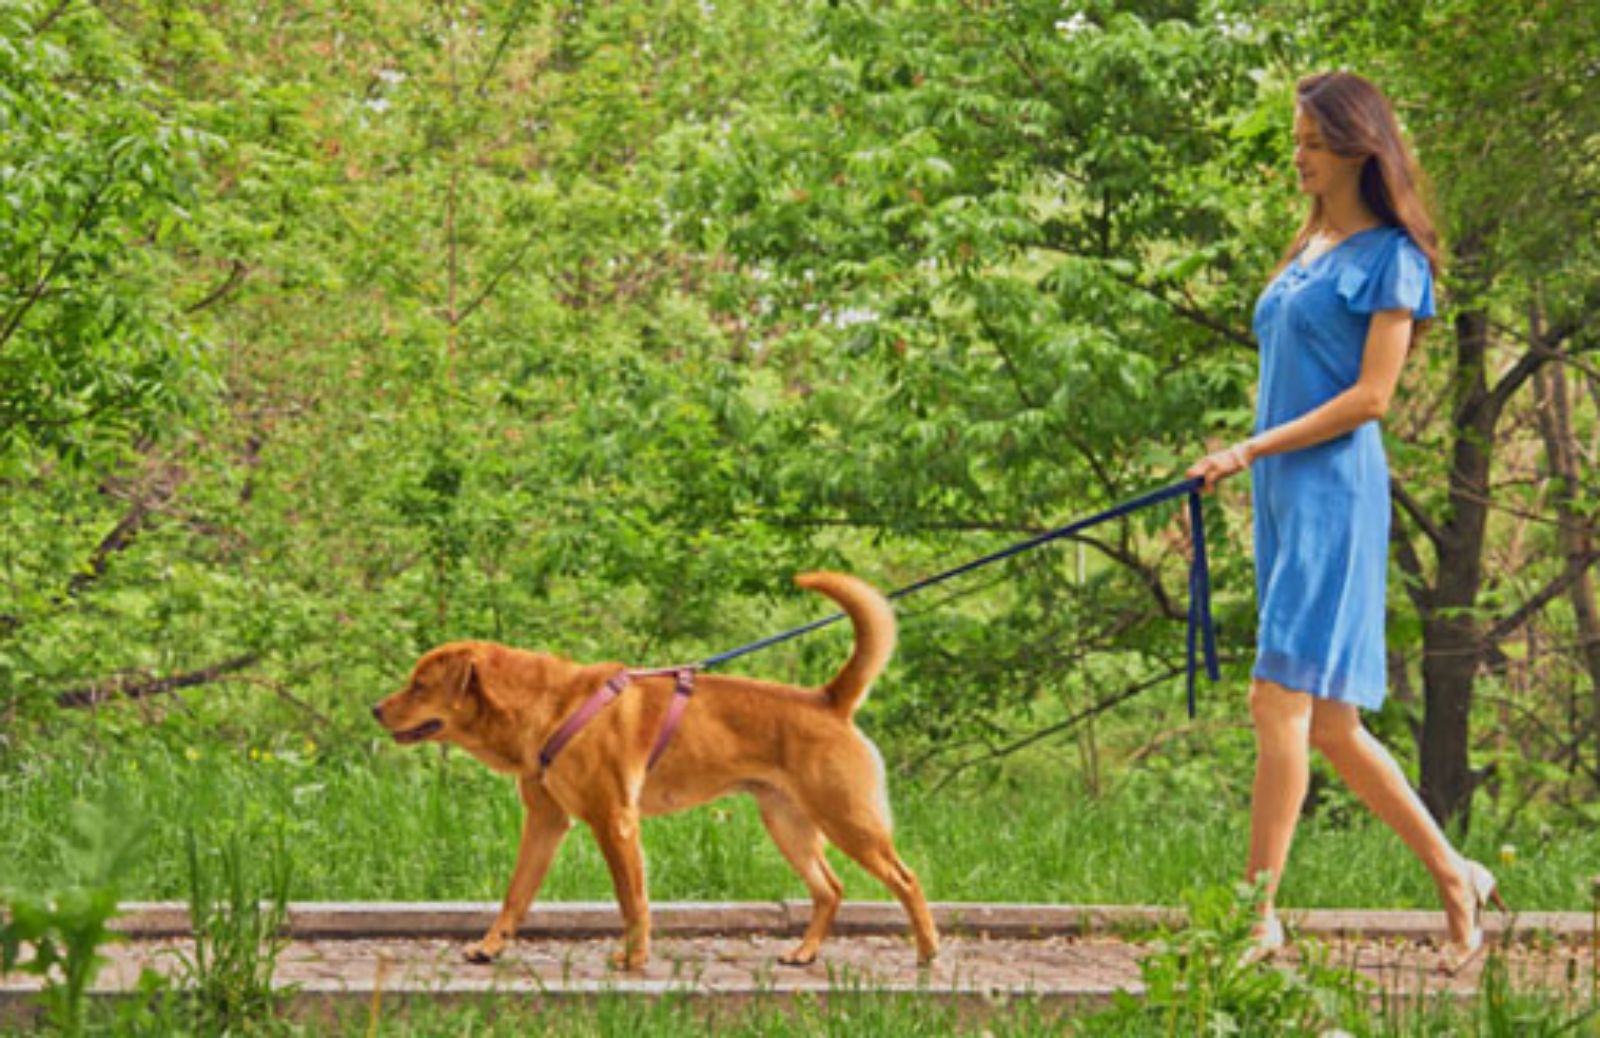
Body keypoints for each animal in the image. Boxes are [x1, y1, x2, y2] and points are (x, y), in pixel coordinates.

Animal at [371, 569, 934, 966]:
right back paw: (805, 952)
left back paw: (928, 951)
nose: (375, 709)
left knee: (906, 879)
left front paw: (634, 959)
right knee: (830, 889)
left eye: (419, 685)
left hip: (848, 820)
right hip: (788, 824)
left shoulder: (615, 823)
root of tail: (828, 699)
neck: (547, 709)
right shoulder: (546, 821)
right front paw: (491, 947)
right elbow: (516, 894)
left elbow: (632, 901)